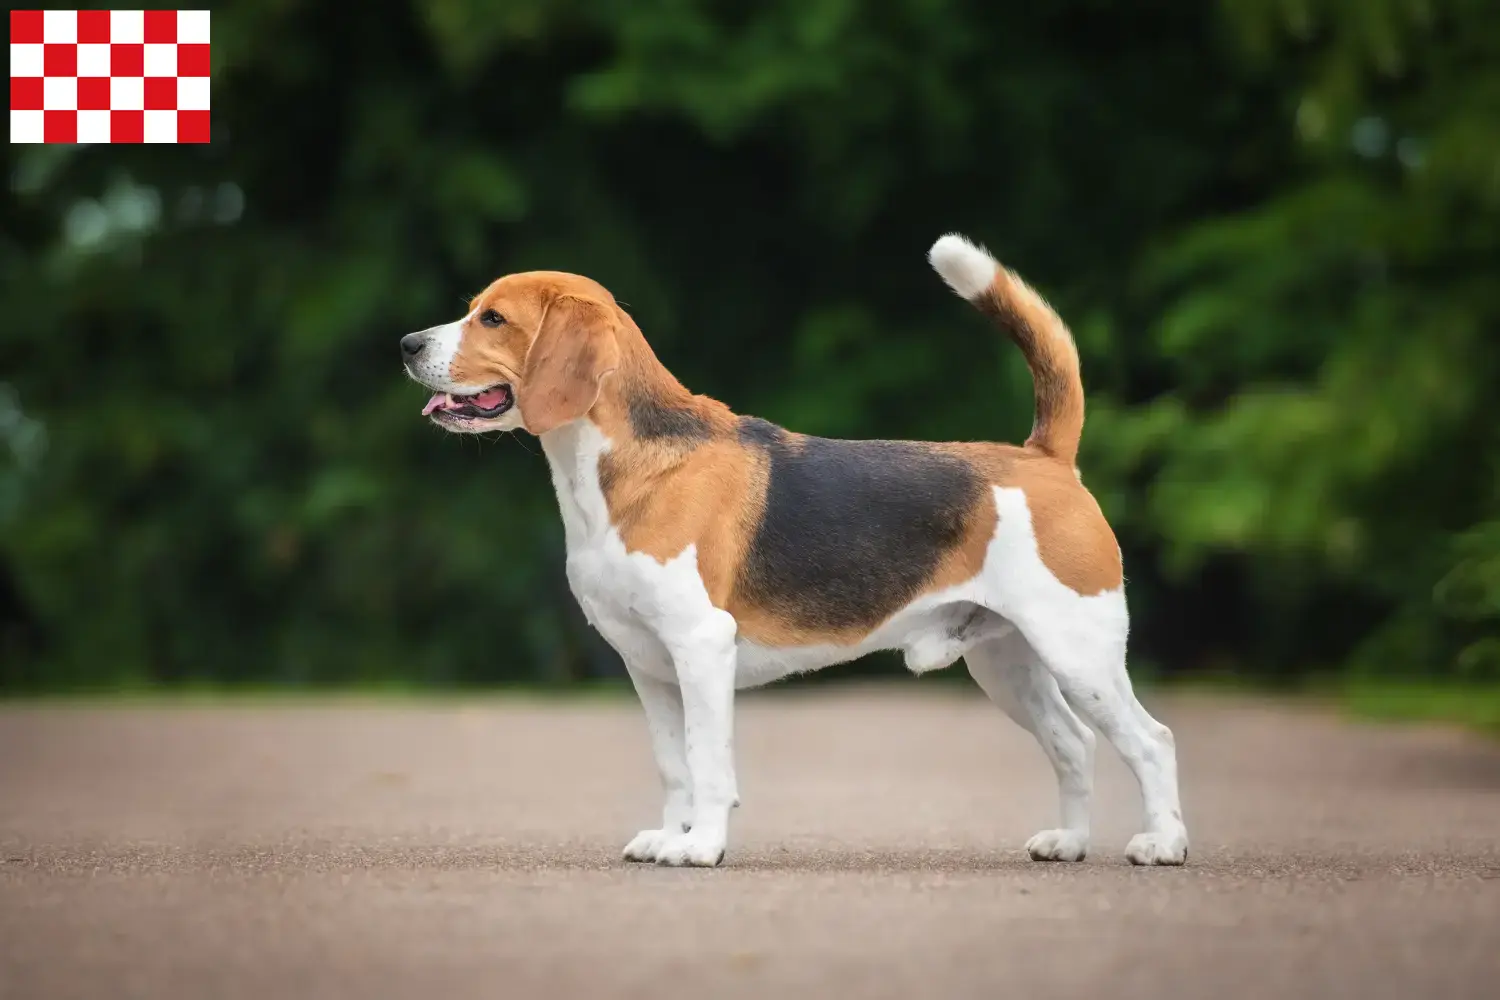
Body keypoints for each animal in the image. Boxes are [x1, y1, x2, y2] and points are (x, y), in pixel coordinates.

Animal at [402, 235, 1194, 869]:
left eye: (493, 318)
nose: (408, 344)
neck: (620, 465)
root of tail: (1045, 458)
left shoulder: (701, 646)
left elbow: (707, 760)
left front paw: (702, 846)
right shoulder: (646, 665)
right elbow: (672, 764)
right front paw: (670, 835)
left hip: (1078, 650)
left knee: (1151, 740)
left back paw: (1164, 844)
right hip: (1008, 663)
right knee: (1074, 744)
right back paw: (1070, 841)